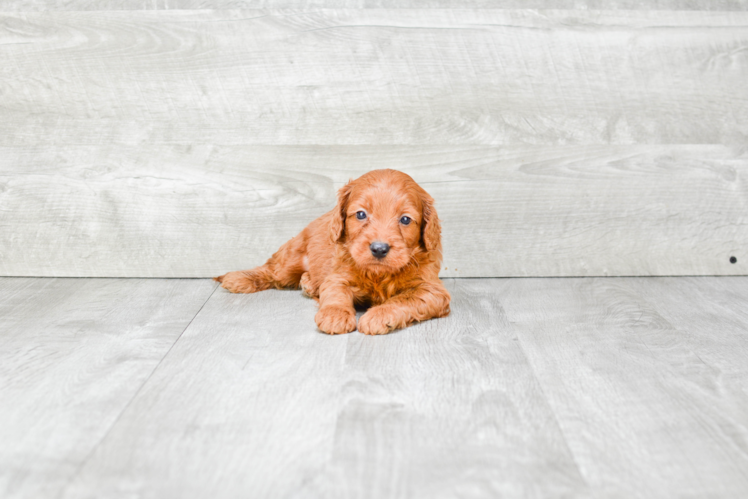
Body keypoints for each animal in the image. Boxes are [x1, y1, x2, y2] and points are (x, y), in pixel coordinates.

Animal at [215, 169, 450, 336]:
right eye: (361, 214)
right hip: (291, 258)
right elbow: (335, 293)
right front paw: (334, 315)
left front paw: (378, 316)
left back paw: (308, 284)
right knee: (271, 270)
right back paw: (239, 278)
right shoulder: (338, 276)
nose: (379, 248)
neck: (378, 275)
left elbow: (404, 299)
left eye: (405, 219)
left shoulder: (432, 290)